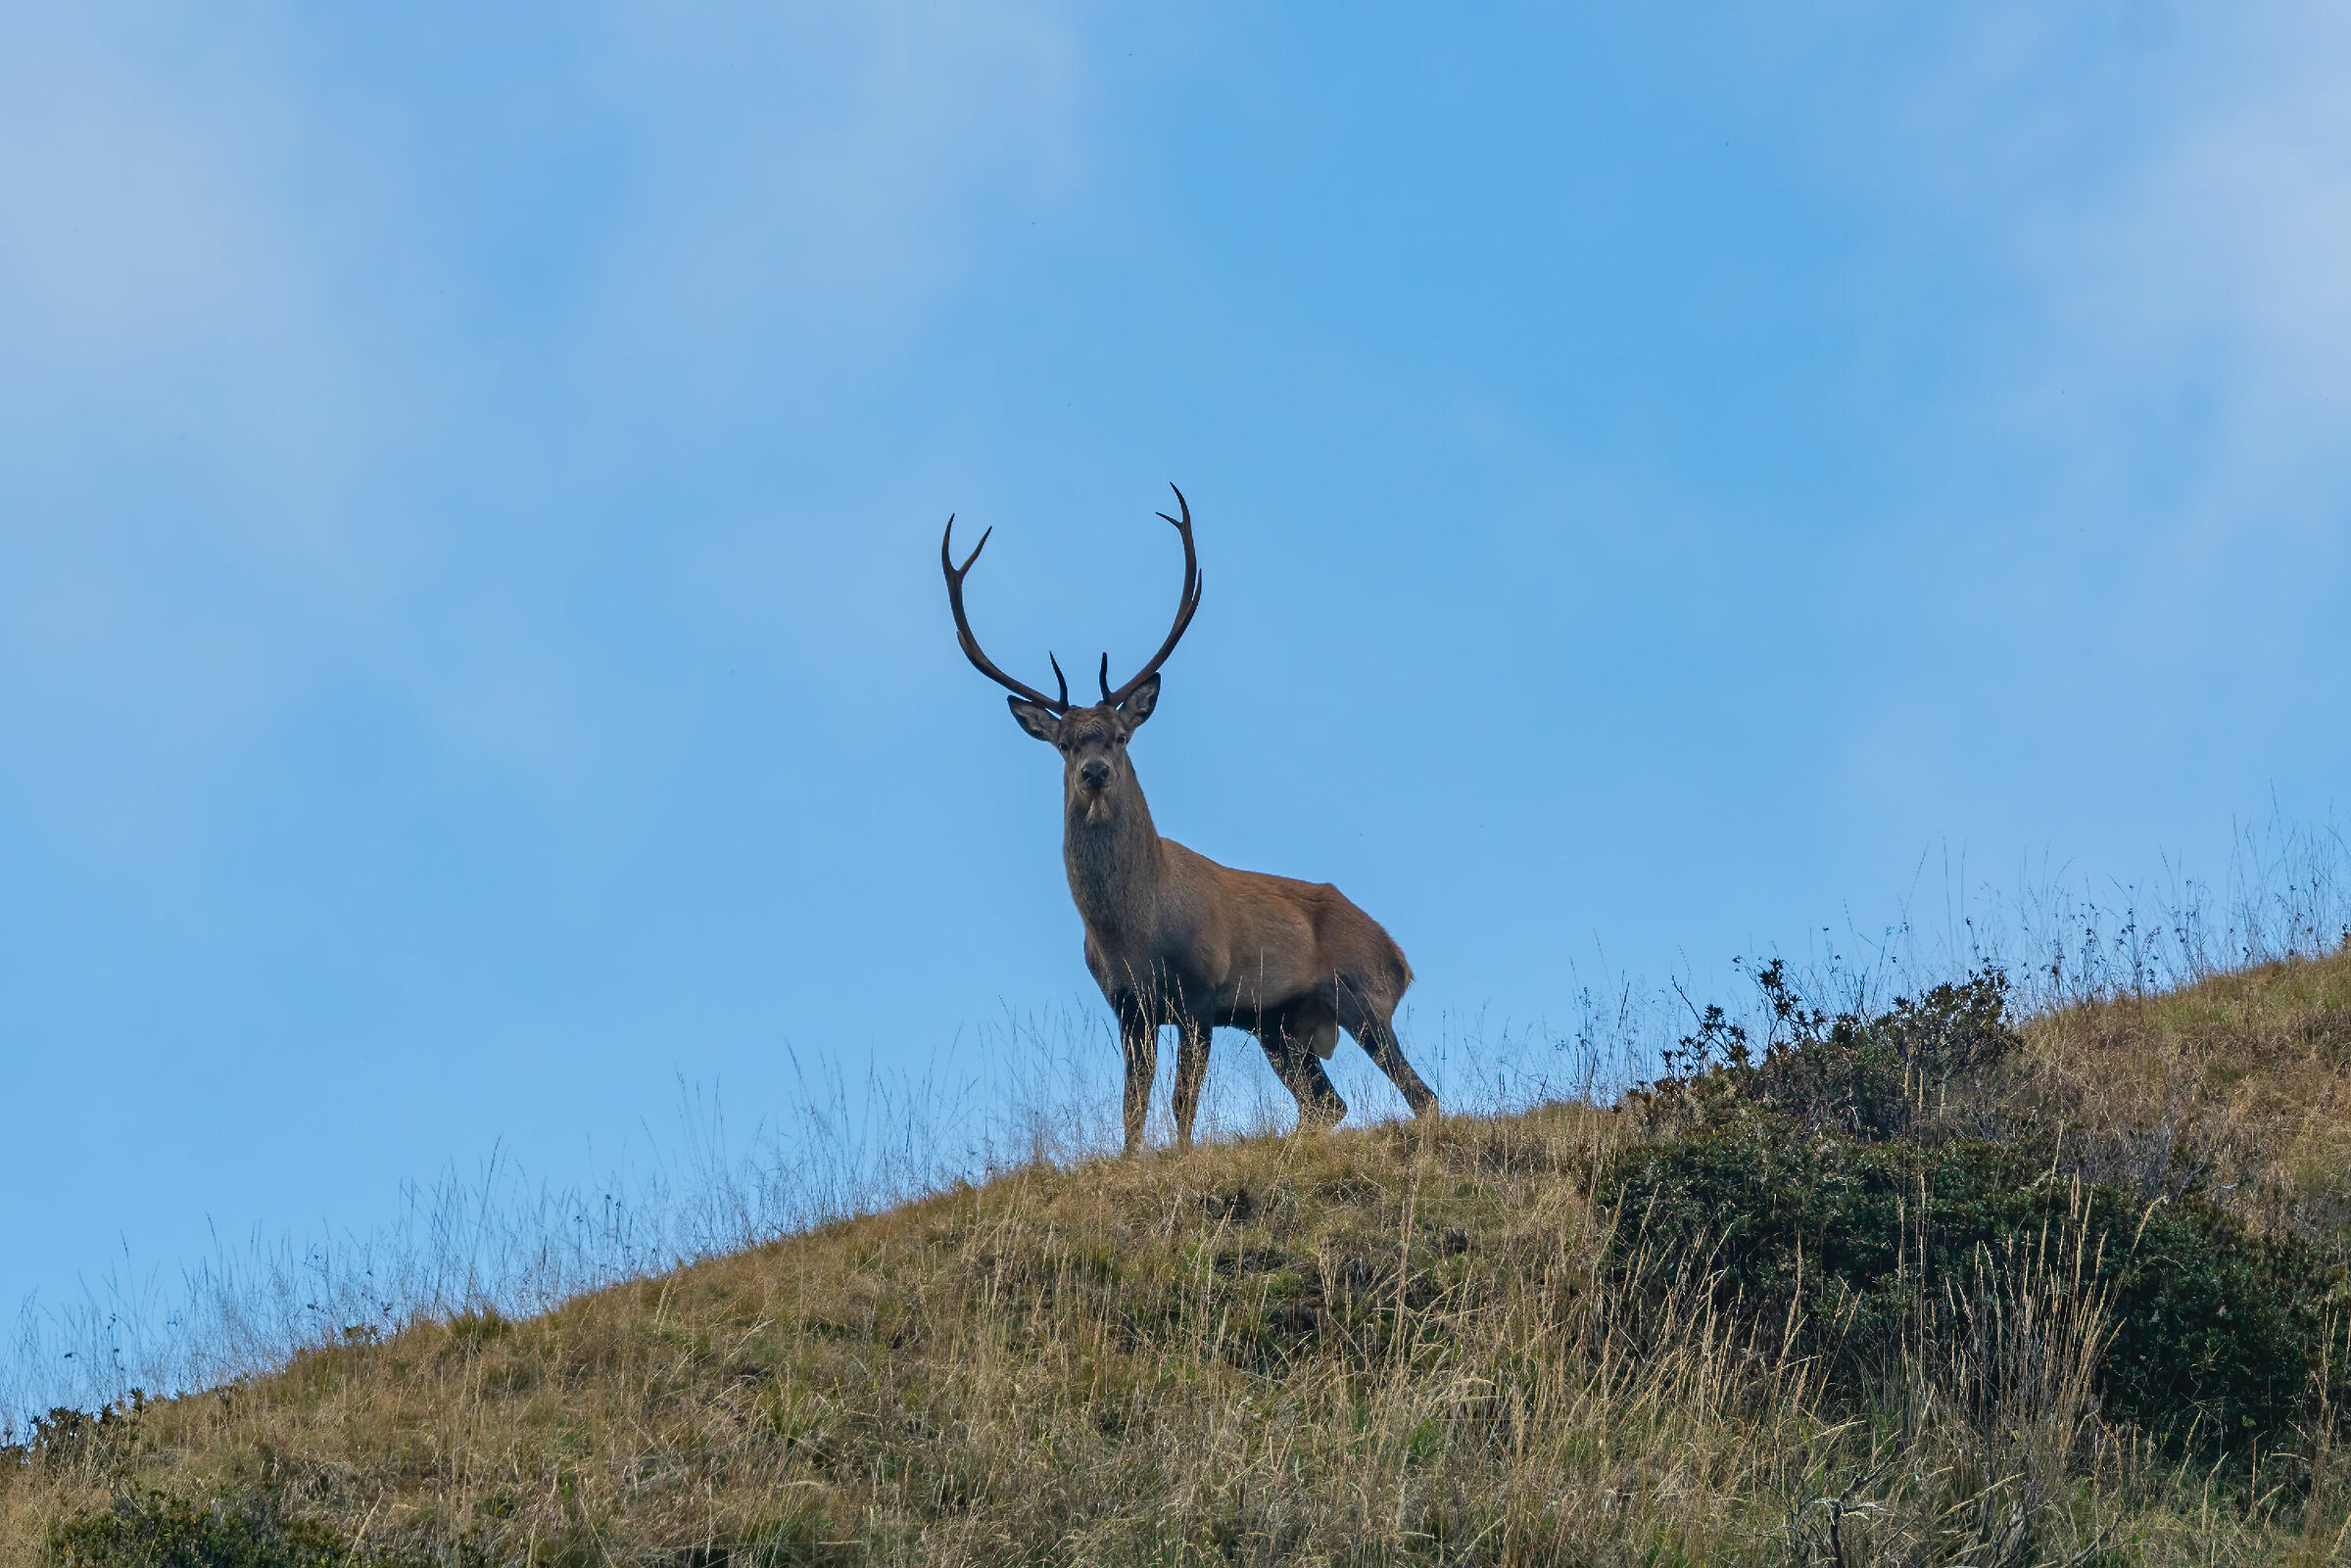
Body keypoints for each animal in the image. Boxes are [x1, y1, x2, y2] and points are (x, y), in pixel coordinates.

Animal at [941, 485, 1439, 1155]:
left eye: (1120, 735)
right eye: (1065, 744)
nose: (1094, 772)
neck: (1132, 931)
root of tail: (1401, 958)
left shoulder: (1201, 992)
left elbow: (1182, 1103)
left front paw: (1177, 1157)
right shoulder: (1128, 1007)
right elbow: (1133, 1106)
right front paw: (1132, 1161)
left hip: (1361, 996)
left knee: (1419, 1094)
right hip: (1279, 1028)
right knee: (1327, 1105)